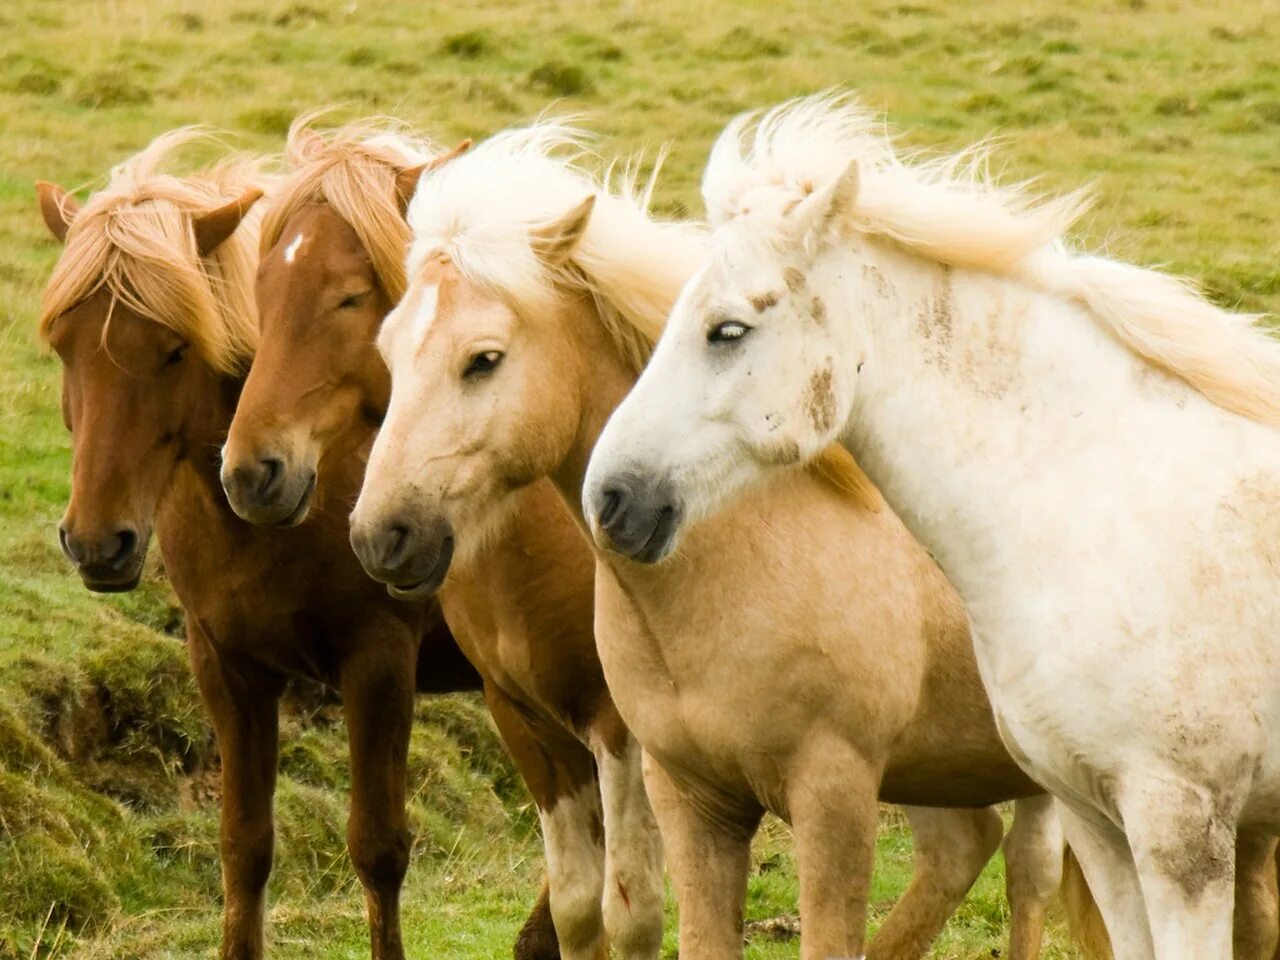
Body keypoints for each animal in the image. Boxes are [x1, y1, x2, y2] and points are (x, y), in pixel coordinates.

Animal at [32, 133, 555, 960]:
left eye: (176, 350)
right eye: (61, 345)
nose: (95, 542)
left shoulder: (378, 662)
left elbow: (377, 848)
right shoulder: (226, 666)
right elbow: (244, 846)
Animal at [217, 120, 670, 960]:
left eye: (350, 296)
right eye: (259, 290)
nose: (251, 471)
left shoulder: (619, 727)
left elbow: (632, 909)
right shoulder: (525, 718)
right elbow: (579, 907)